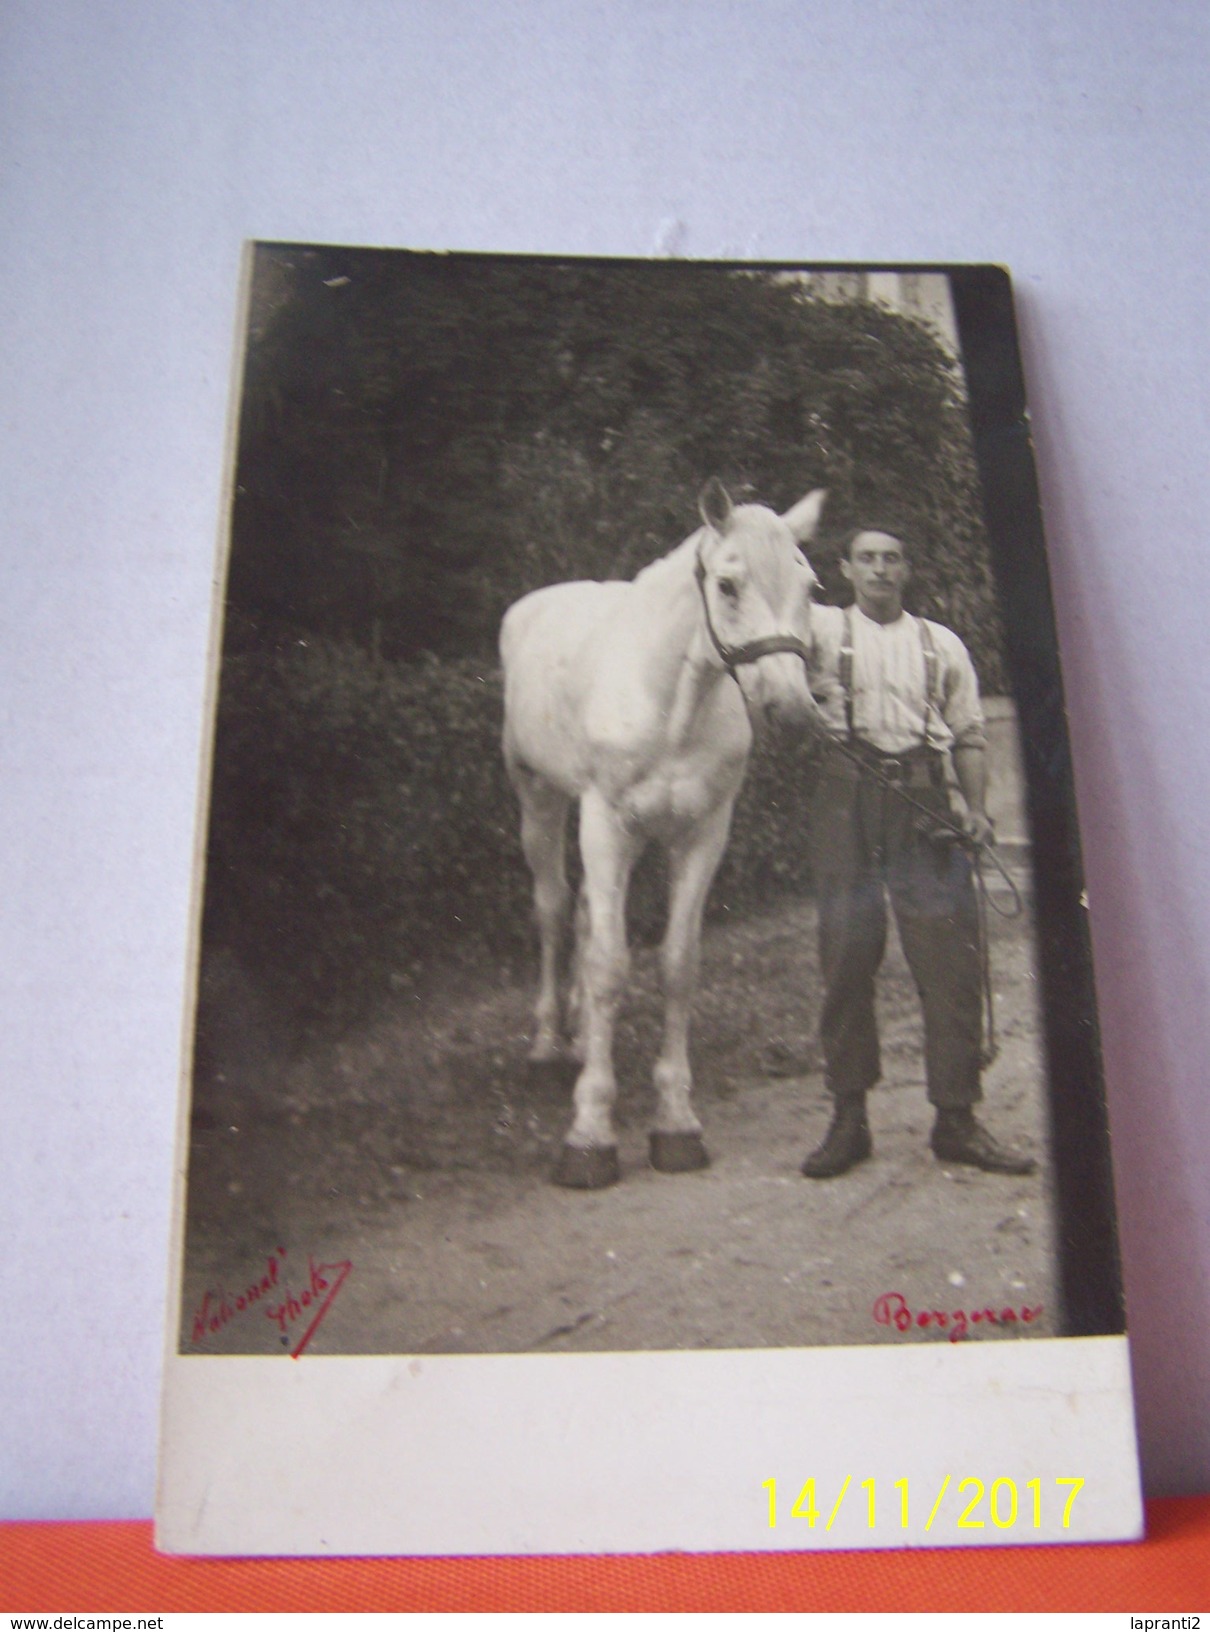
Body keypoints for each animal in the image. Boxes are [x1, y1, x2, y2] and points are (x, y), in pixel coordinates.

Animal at [500, 478, 826, 1188]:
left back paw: (579, 1038)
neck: (673, 701)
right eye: (728, 584)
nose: (790, 708)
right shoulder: (604, 823)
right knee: (554, 910)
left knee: (585, 914)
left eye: (810, 585)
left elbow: (677, 962)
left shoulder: (701, 834)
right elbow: (609, 966)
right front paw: (589, 1132)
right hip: (540, 800)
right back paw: (548, 1044)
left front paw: (676, 1122)